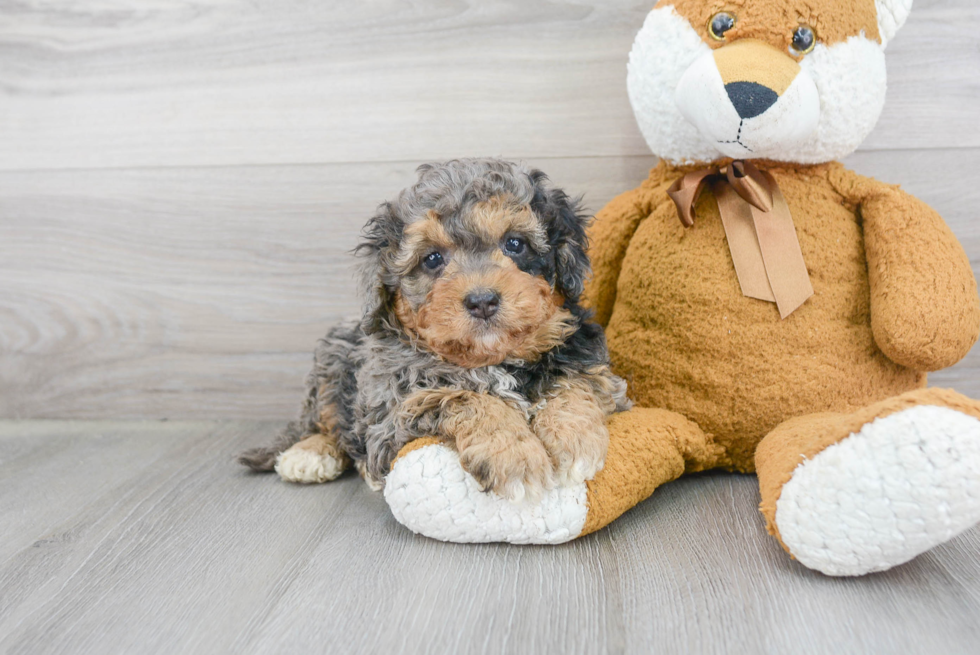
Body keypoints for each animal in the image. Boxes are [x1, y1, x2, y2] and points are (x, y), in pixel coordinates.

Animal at [241, 159, 632, 502]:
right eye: (432, 259)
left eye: (515, 244)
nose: (482, 300)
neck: (490, 360)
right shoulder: (389, 419)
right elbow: (463, 397)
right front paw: (515, 457)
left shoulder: (590, 364)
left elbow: (575, 382)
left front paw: (575, 439)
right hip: (333, 355)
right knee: (325, 423)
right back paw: (309, 453)